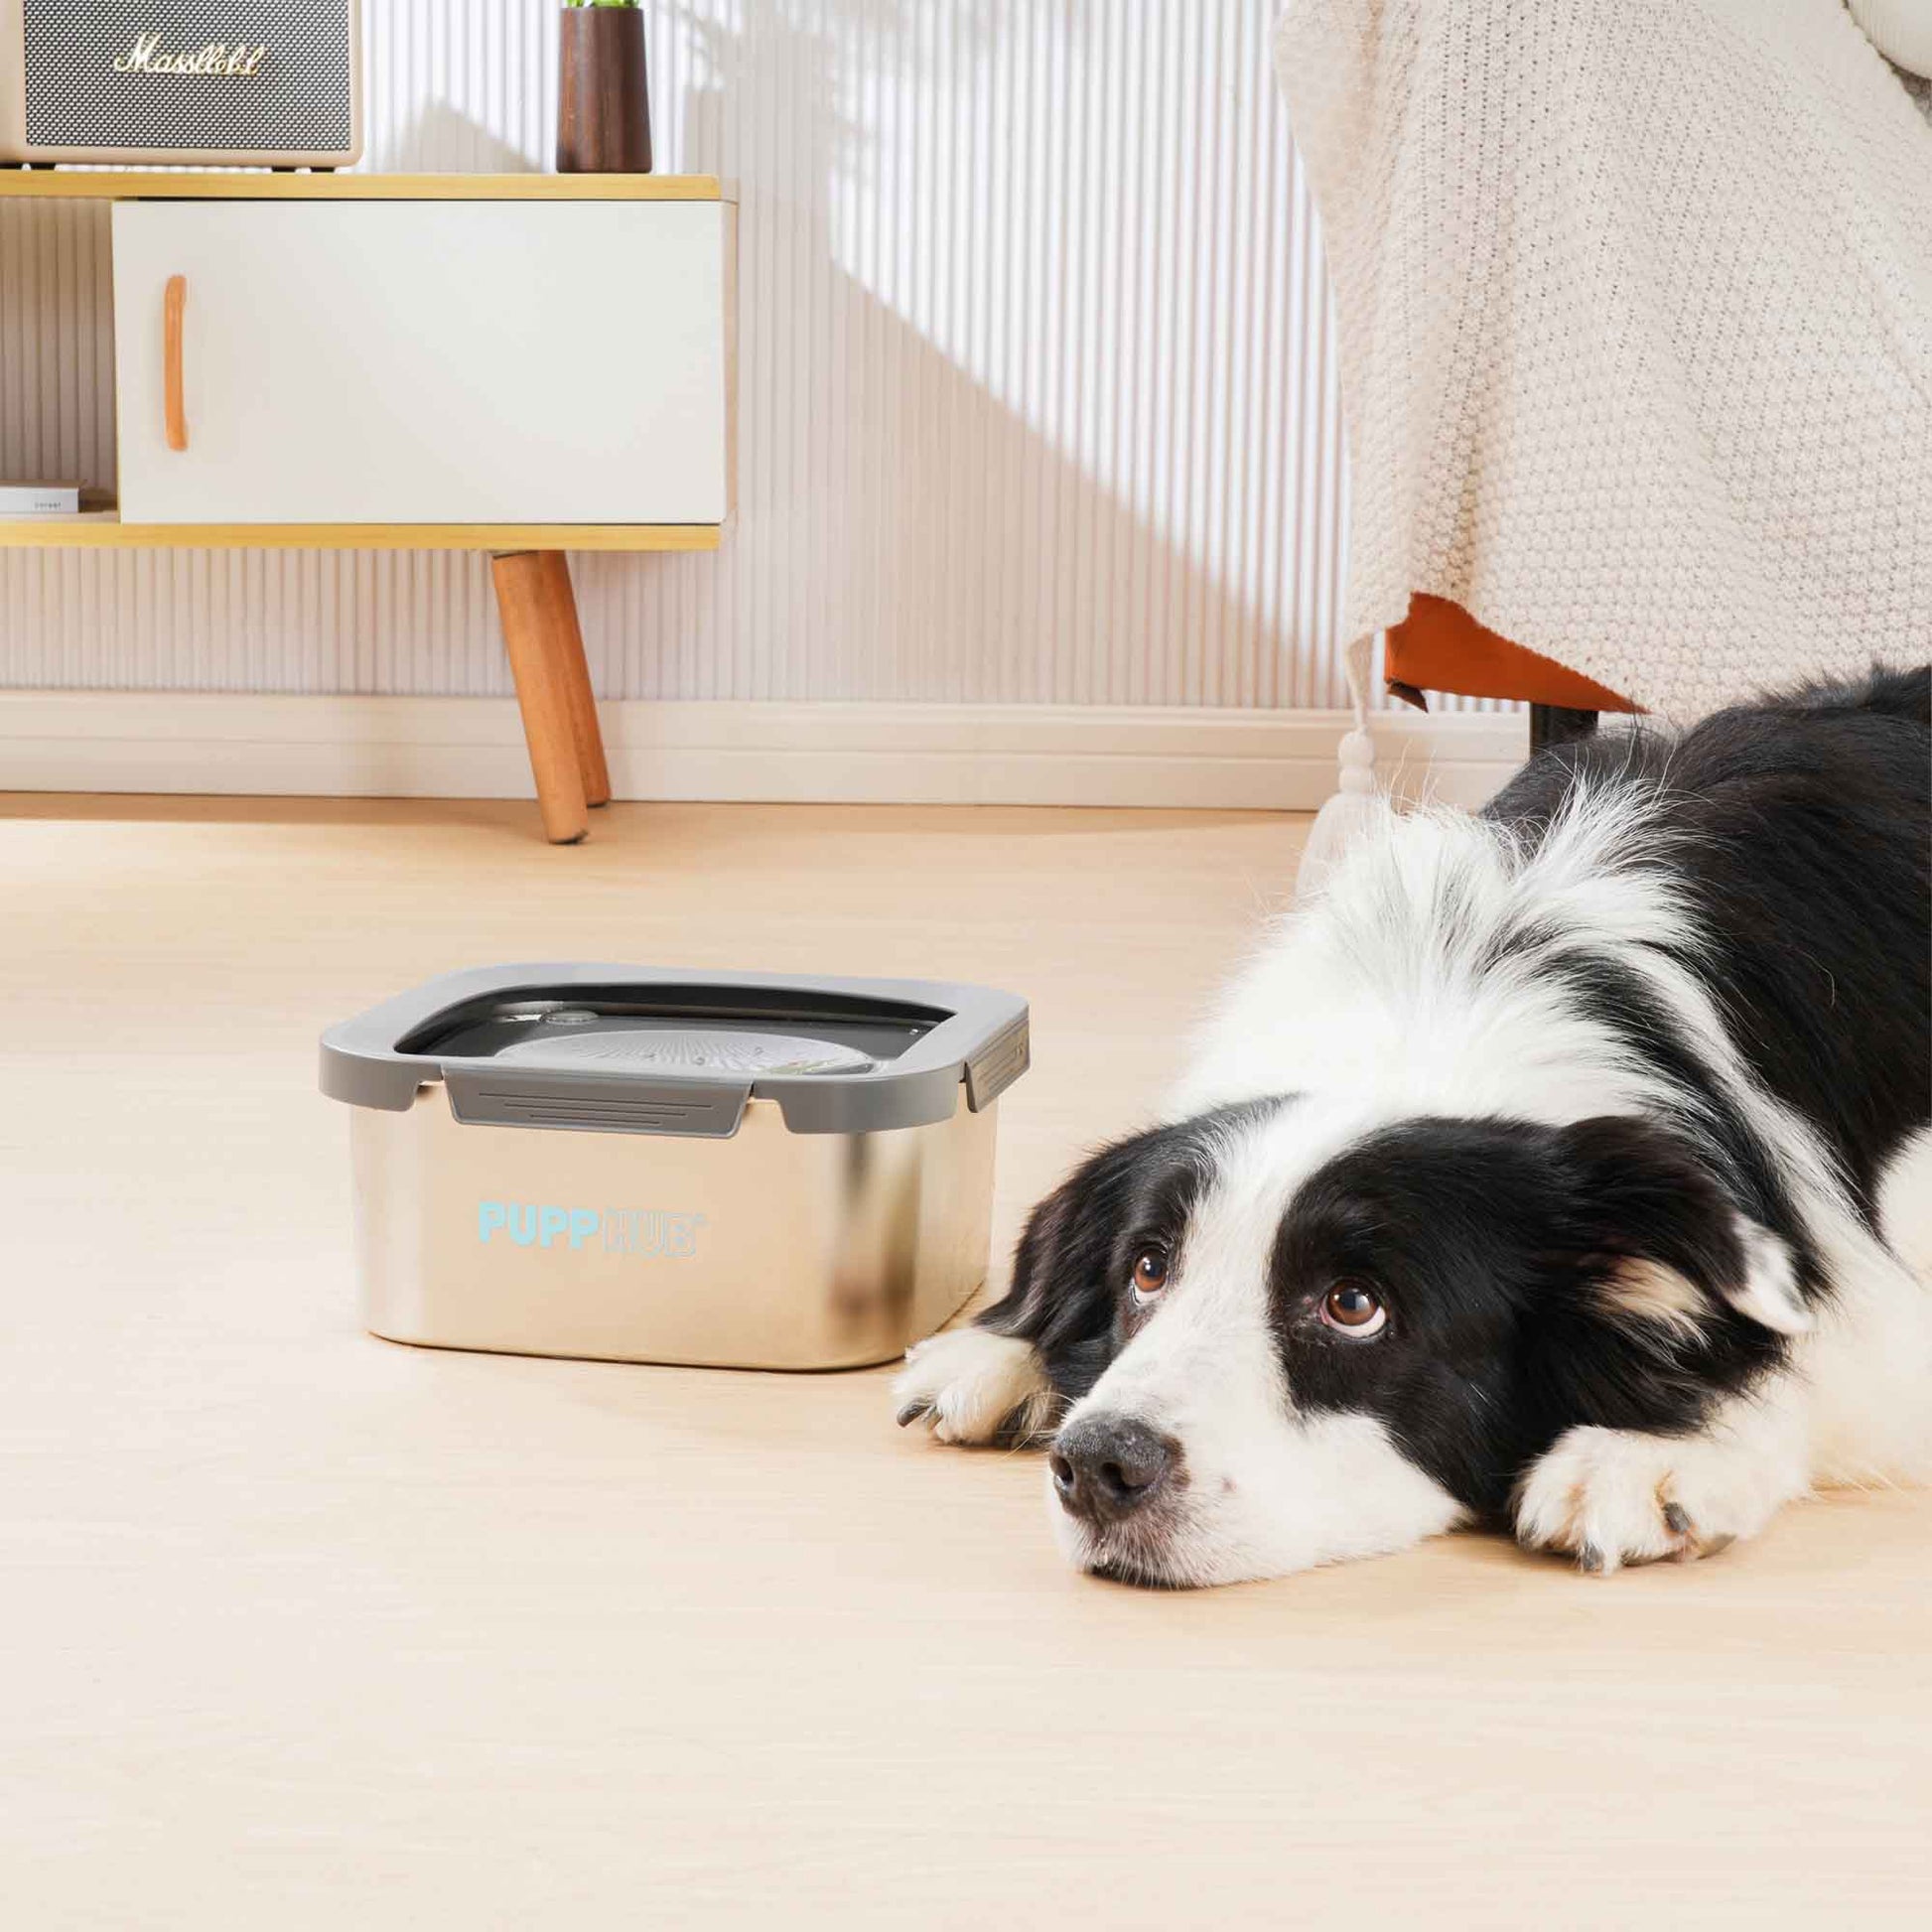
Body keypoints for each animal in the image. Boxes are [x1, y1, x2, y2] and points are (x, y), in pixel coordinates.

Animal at [896, 664, 1924, 1584]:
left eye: (1355, 1305)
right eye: (1148, 1269)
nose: (1100, 1464)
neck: (1441, 1004)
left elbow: (1816, 1362)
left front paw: (1655, 1452)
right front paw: (1002, 1348)